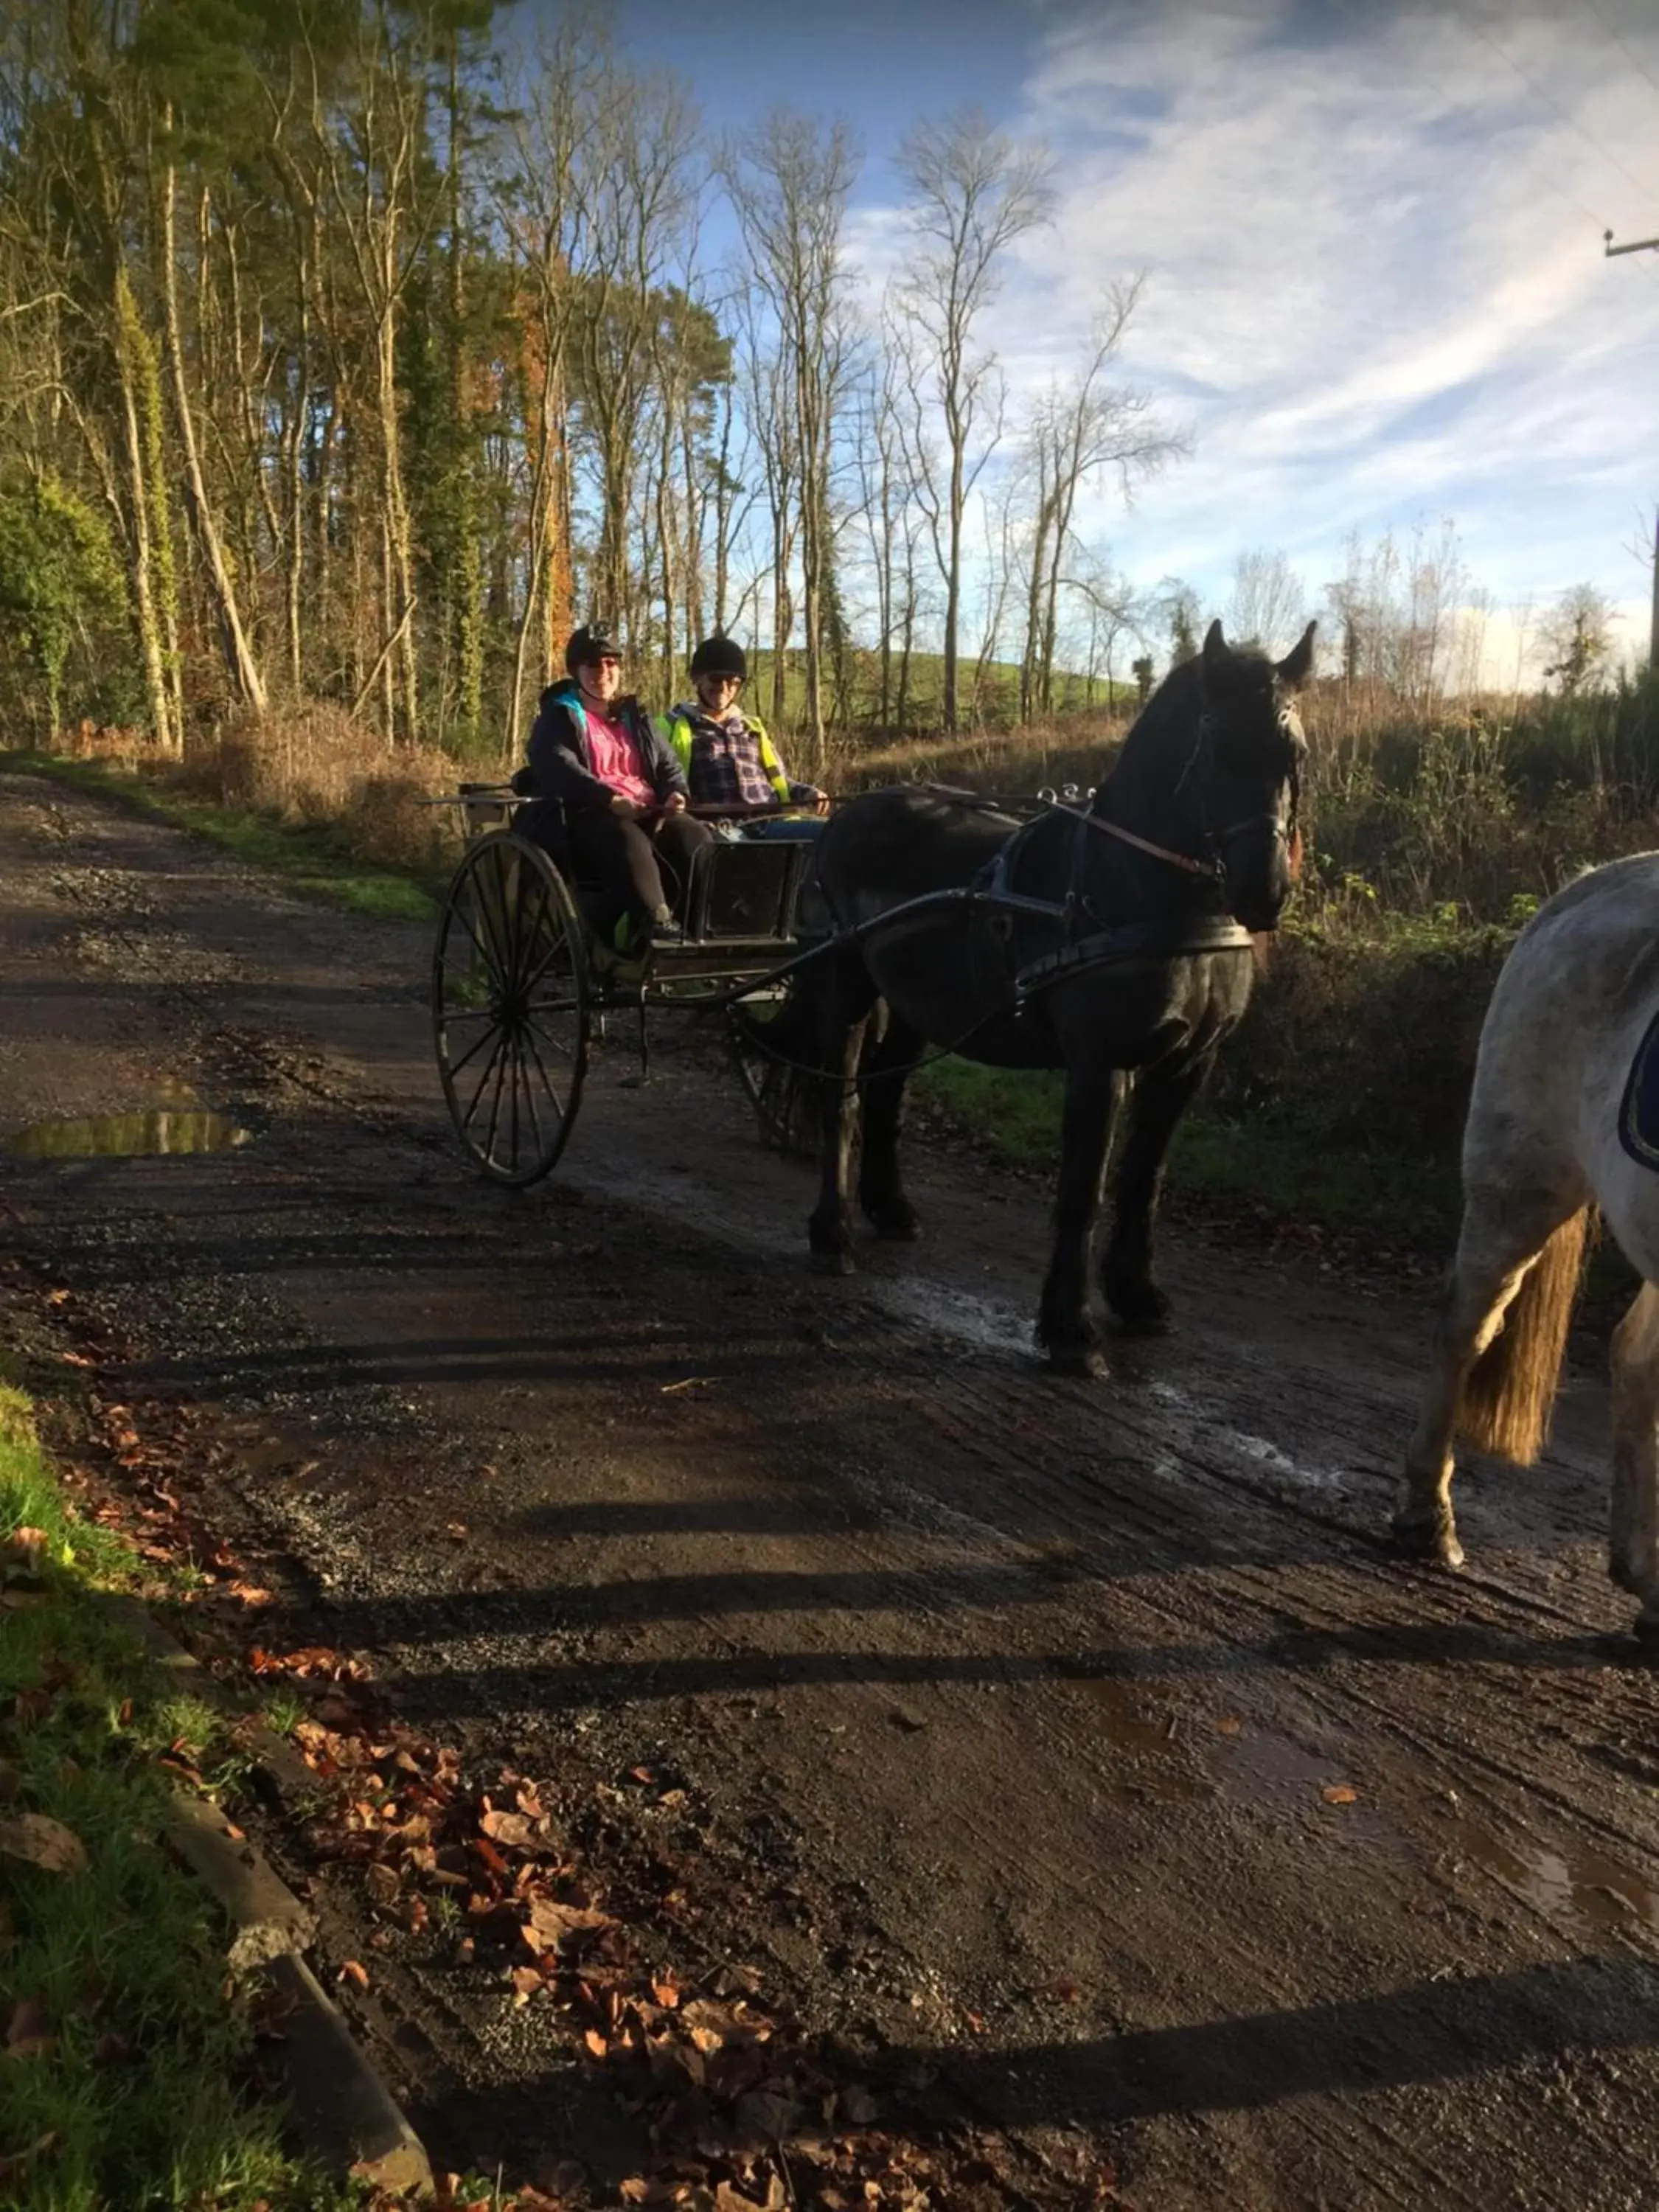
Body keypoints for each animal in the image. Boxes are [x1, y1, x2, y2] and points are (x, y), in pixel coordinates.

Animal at [801, 619, 1318, 1363]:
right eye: (1218, 747)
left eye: (1293, 752)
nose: (1264, 891)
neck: (1142, 891)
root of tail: (849, 812)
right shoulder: (1101, 1062)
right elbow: (1084, 1188)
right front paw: (1070, 1328)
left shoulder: (1187, 1064)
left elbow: (1143, 1179)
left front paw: (1137, 1296)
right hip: (845, 983)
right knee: (839, 1099)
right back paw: (832, 1232)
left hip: (912, 1003)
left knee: (885, 1093)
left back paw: (889, 1208)